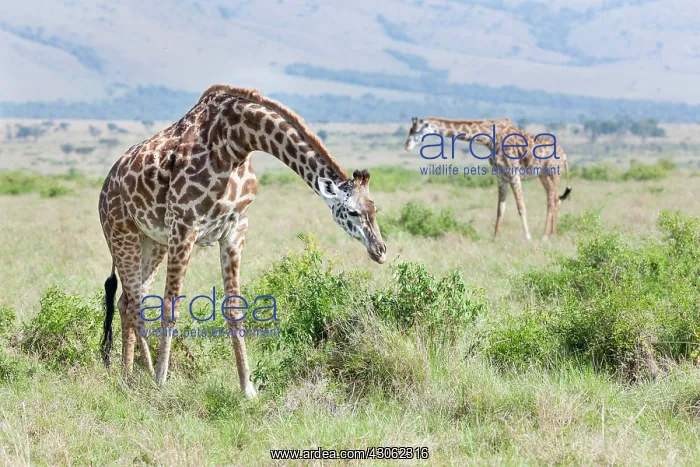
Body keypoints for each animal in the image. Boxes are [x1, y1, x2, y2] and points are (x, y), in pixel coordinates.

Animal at [98, 84, 387, 398]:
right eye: (353, 212)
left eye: (375, 209)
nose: (380, 251)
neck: (236, 143)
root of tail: (106, 183)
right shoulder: (185, 226)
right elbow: (170, 307)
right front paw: (162, 383)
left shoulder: (235, 229)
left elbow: (234, 307)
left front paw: (247, 388)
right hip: (122, 232)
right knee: (134, 302)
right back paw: (148, 374)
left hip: (153, 241)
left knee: (127, 300)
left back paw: (127, 375)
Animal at [404, 117, 571, 240]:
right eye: (409, 130)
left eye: (416, 131)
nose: (406, 146)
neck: (490, 138)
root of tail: (564, 155)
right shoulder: (501, 176)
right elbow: (500, 208)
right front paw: (495, 237)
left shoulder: (513, 173)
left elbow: (521, 207)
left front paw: (528, 237)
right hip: (544, 176)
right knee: (555, 200)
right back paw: (553, 235)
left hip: (552, 174)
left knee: (552, 201)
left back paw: (545, 236)